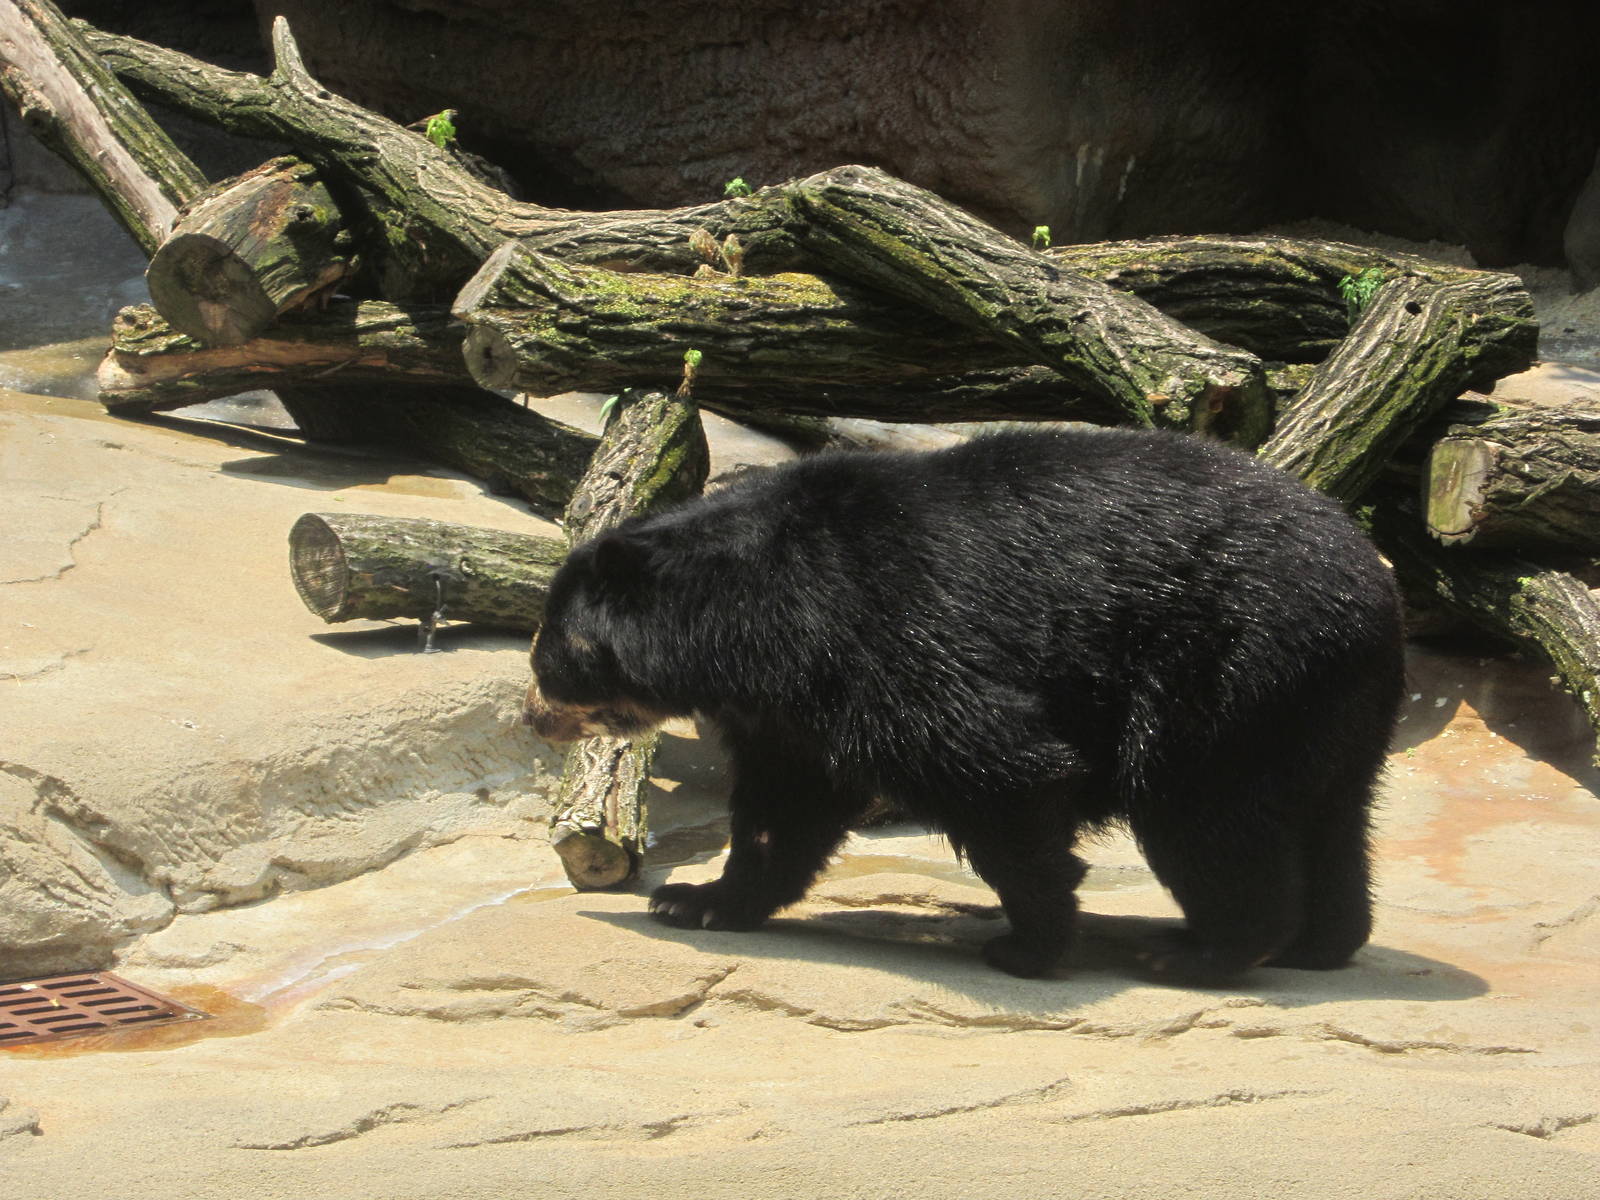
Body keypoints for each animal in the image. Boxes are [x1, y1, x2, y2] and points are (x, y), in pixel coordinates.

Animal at [523, 427, 1405, 981]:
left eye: (549, 648)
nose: (532, 716)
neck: (754, 623)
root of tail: (1375, 590)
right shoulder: (788, 709)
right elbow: (785, 807)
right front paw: (696, 900)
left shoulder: (880, 631)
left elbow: (995, 765)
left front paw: (1029, 946)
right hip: (1324, 704)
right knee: (1332, 817)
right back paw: (1321, 943)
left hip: (1227, 671)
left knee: (1202, 809)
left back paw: (1204, 950)